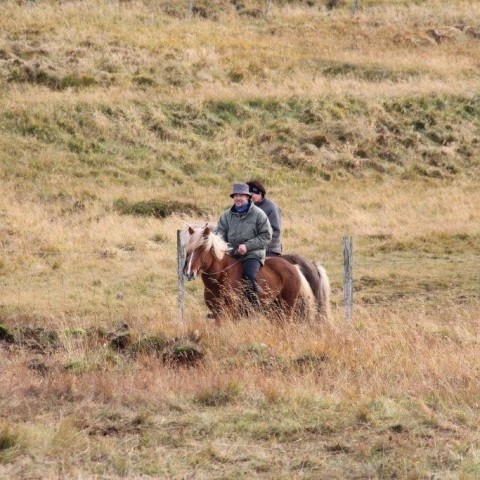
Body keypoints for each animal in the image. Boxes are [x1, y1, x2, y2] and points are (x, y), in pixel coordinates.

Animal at [181, 226, 316, 322]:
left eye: (202, 248)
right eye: (188, 250)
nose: (189, 273)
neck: (220, 277)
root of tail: (293, 268)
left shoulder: (228, 312)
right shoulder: (218, 311)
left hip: (286, 307)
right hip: (274, 309)